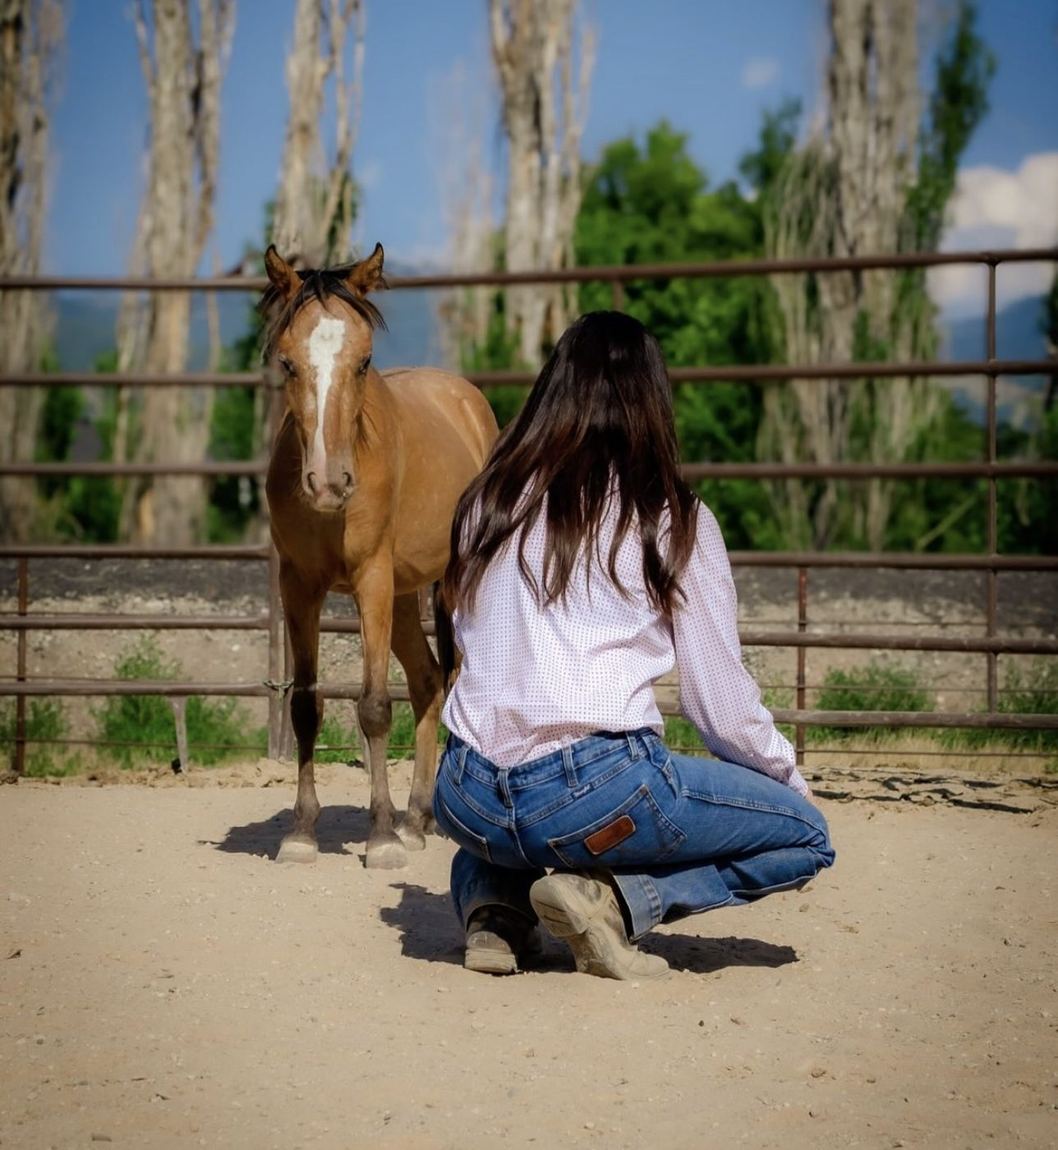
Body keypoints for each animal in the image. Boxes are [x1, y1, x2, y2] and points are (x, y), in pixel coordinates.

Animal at [262, 243, 499, 869]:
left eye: (364, 361)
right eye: (288, 364)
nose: (328, 483)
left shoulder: (370, 580)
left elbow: (372, 707)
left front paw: (382, 838)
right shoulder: (299, 588)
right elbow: (306, 706)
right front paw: (301, 832)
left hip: (439, 586)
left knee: (443, 681)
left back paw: (413, 822)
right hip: (405, 592)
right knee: (428, 681)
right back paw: (416, 817)